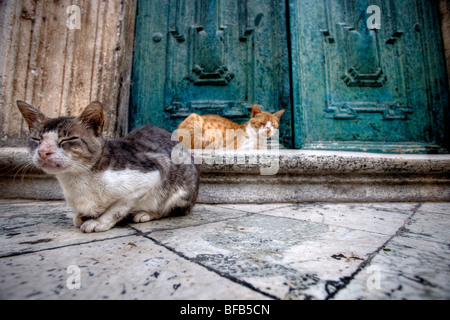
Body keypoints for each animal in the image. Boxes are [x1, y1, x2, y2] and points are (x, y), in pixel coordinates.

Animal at [17, 100, 200, 232]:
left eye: (68, 139)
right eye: (37, 139)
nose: (43, 151)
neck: (77, 179)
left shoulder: (154, 170)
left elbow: (118, 207)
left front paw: (99, 222)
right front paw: (82, 215)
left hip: (181, 189)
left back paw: (145, 214)